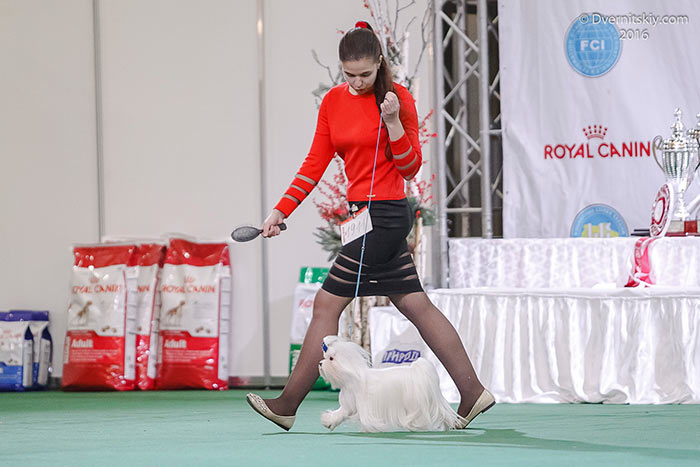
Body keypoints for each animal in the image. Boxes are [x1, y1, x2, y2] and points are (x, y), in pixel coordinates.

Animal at [318, 335, 464, 432]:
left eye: (331, 359)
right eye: (324, 358)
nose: (319, 363)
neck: (353, 376)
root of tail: (417, 371)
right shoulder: (349, 405)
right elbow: (340, 414)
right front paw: (329, 421)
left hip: (416, 404)